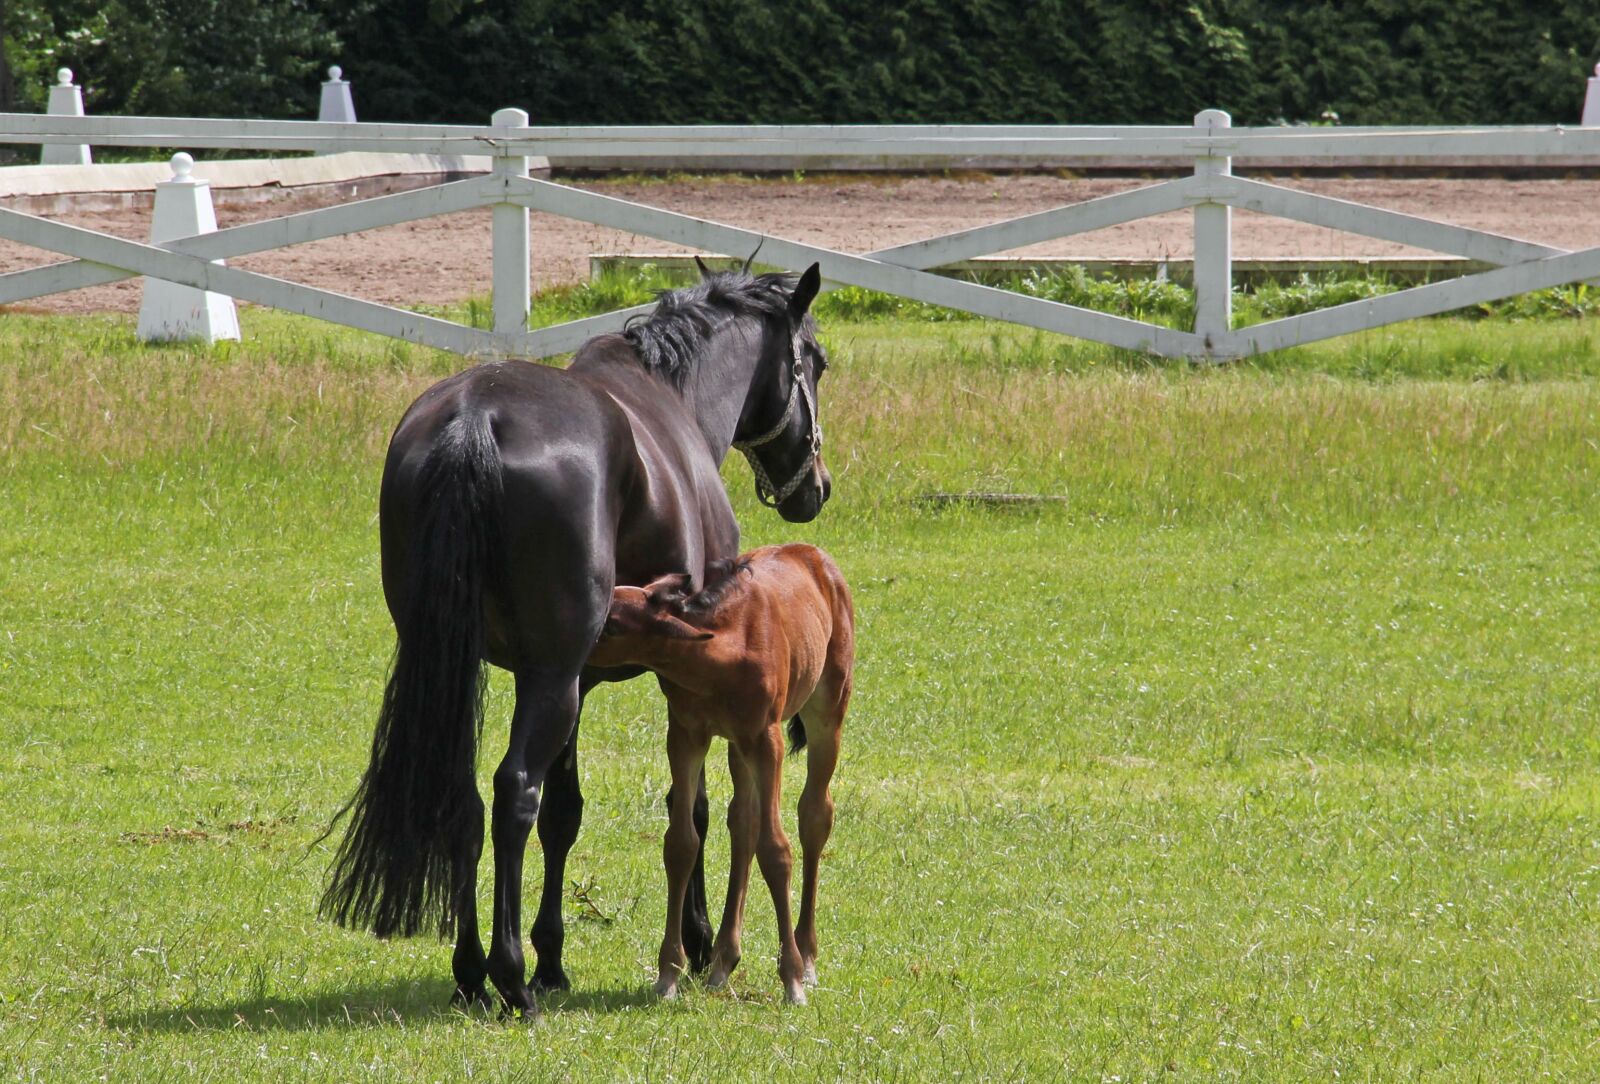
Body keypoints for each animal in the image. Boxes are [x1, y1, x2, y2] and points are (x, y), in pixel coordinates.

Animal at [588, 544, 854, 1005]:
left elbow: (776, 849)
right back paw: (723, 962)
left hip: (827, 711)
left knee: (814, 815)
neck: (721, 657)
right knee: (742, 822)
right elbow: (681, 844)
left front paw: (792, 979)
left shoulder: (767, 740)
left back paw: (807, 956)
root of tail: (815, 554)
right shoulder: (686, 735)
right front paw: (668, 974)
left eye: (614, 625)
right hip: (736, 746)